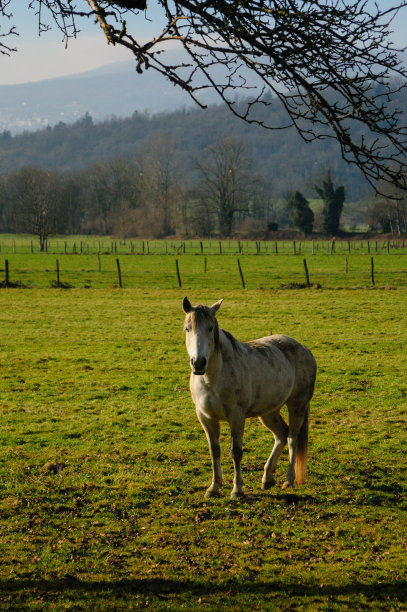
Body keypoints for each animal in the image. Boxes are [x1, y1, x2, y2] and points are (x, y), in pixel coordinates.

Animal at [182, 298, 318, 500]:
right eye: (187, 328)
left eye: (210, 328)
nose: (198, 363)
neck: (213, 378)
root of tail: (304, 350)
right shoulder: (206, 417)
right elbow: (215, 452)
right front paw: (214, 488)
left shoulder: (237, 417)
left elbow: (236, 452)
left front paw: (237, 490)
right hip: (269, 412)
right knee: (281, 435)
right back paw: (267, 478)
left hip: (297, 406)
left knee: (292, 438)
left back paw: (289, 480)